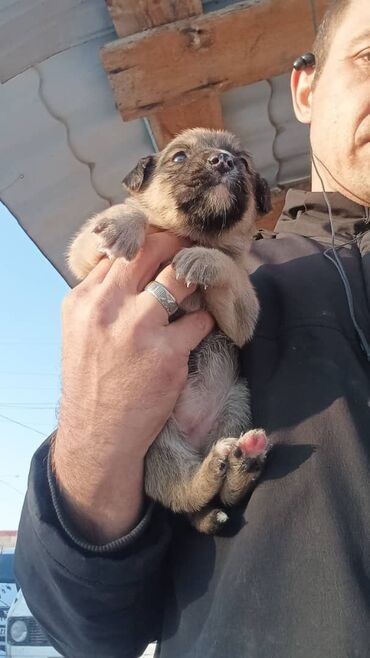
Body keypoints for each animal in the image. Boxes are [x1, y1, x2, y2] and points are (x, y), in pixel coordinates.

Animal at [68, 128, 272, 532]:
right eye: (178, 157)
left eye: (243, 163)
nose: (223, 160)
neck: (192, 234)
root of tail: (197, 441)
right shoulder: (83, 260)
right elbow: (132, 212)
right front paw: (124, 225)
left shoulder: (243, 315)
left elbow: (226, 264)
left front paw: (203, 259)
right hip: (160, 447)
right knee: (186, 492)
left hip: (235, 403)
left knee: (220, 493)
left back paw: (243, 462)